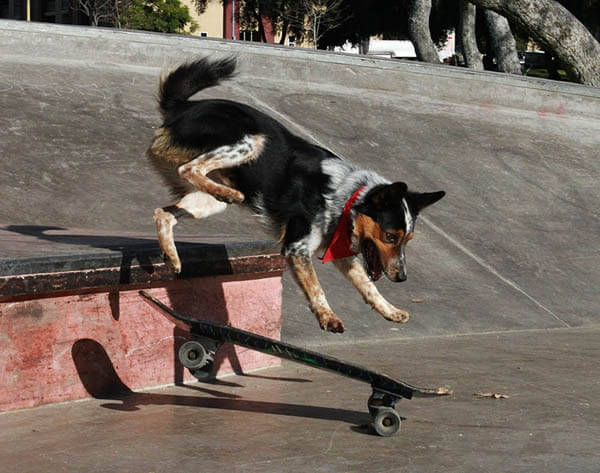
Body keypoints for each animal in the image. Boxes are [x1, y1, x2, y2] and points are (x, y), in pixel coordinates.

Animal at [147, 57, 442, 334]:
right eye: (390, 237)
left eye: (407, 240)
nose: (402, 277)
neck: (345, 199)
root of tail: (183, 106)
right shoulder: (296, 248)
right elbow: (317, 287)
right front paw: (327, 316)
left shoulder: (342, 254)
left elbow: (368, 285)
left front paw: (390, 310)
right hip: (250, 141)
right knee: (190, 168)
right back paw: (229, 193)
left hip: (208, 200)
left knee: (164, 213)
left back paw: (173, 254)